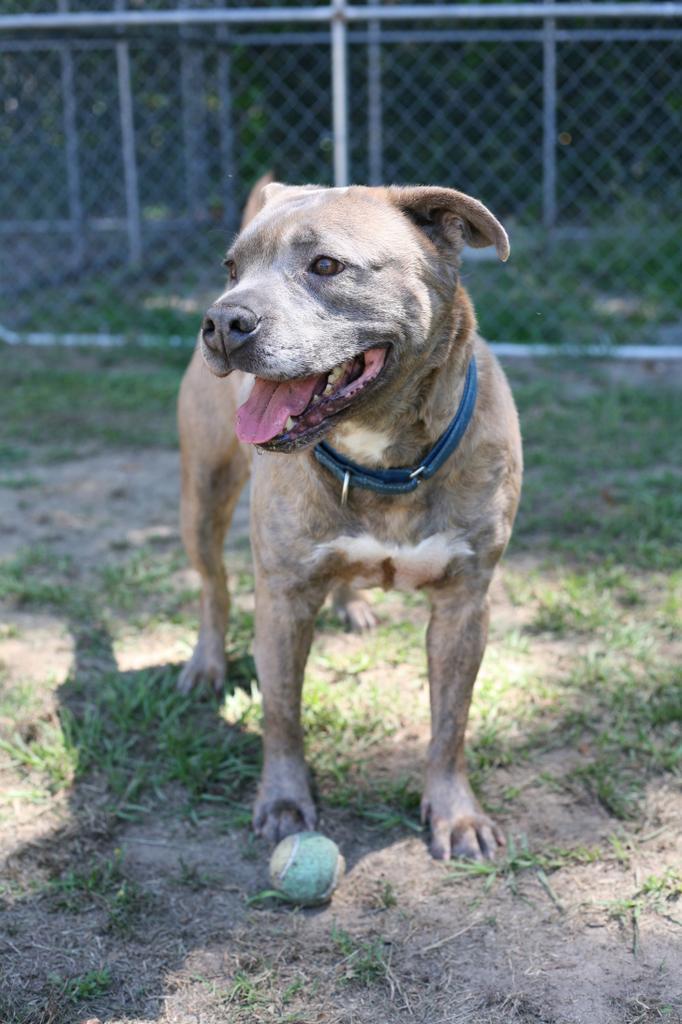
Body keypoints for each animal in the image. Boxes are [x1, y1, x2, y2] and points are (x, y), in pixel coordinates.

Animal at [176, 180, 520, 860]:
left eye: (327, 266)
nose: (222, 321)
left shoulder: (466, 603)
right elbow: (282, 713)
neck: (380, 459)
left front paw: (455, 814)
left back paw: (351, 606)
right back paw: (206, 663)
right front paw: (285, 802)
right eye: (231, 269)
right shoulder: (282, 598)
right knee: (213, 587)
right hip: (203, 495)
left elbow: (451, 722)